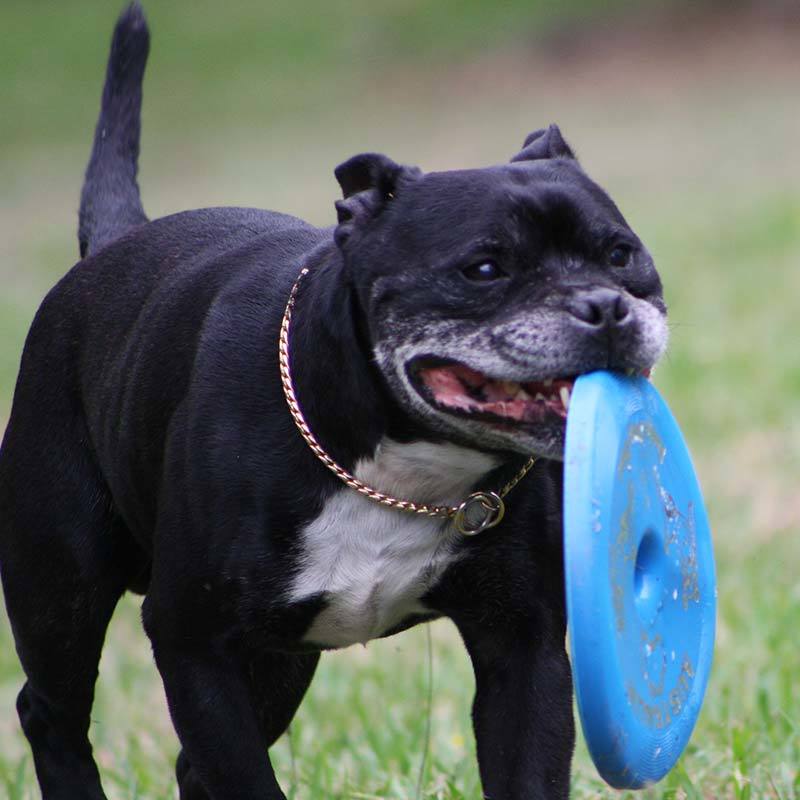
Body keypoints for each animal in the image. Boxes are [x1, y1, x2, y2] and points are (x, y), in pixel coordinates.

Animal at [0, 3, 668, 796]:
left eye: (622, 254)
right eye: (484, 268)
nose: (605, 307)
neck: (401, 469)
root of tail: (111, 247)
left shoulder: (523, 649)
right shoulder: (195, 646)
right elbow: (243, 777)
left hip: (280, 659)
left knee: (188, 763)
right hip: (62, 591)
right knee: (51, 713)